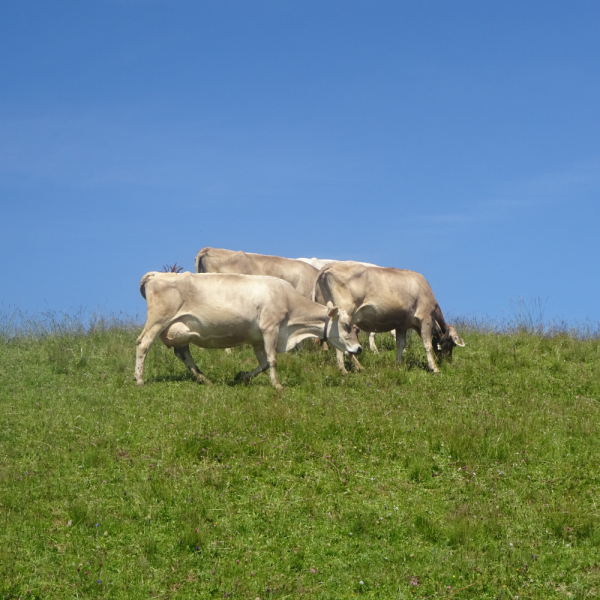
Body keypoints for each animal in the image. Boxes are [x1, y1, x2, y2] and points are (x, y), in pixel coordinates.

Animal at [135, 270, 360, 390]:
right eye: (347, 326)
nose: (359, 349)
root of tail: (157, 274)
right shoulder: (270, 328)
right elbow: (272, 360)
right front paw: (277, 385)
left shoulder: (257, 338)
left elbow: (263, 363)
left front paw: (242, 376)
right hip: (158, 321)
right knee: (142, 344)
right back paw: (139, 379)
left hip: (180, 330)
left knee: (183, 353)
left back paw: (205, 379)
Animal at [314, 264, 464, 376]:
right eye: (451, 344)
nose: (448, 362)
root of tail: (332, 265)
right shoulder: (425, 317)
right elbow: (427, 345)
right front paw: (434, 368)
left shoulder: (402, 325)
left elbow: (400, 345)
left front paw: (398, 365)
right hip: (345, 313)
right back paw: (349, 368)